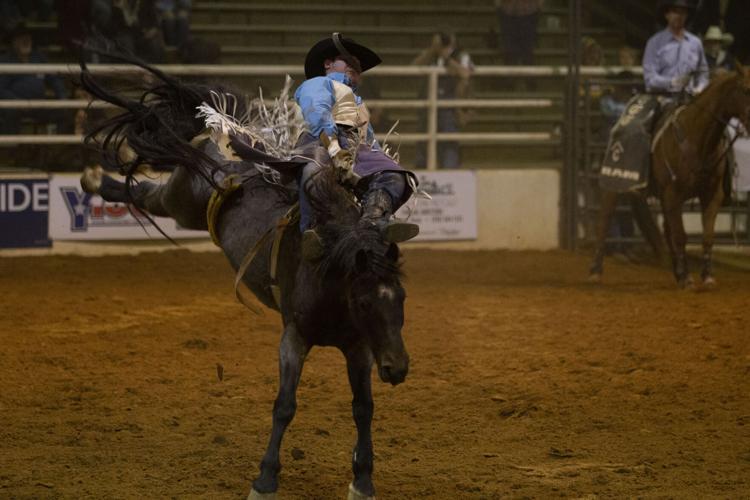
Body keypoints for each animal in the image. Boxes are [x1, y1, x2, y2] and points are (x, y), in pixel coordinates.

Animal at [78, 54, 412, 500]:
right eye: (362, 300)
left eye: (401, 299)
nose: (397, 368)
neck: (330, 274)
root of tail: (222, 141)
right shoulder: (294, 337)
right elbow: (285, 406)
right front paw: (265, 479)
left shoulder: (358, 347)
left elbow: (363, 407)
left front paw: (362, 481)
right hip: (183, 199)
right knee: (147, 194)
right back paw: (96, 178)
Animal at [592, 64, 750, 288]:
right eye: (746, 89)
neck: (697, 138)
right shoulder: (673, 193)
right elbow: (681, 236)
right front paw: (688, 279)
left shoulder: (711, 194)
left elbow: (707, 237)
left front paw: (706, 276)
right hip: (614, 184)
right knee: (604, 219)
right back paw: (595, 270)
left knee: (667, 230)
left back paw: (678, 272)